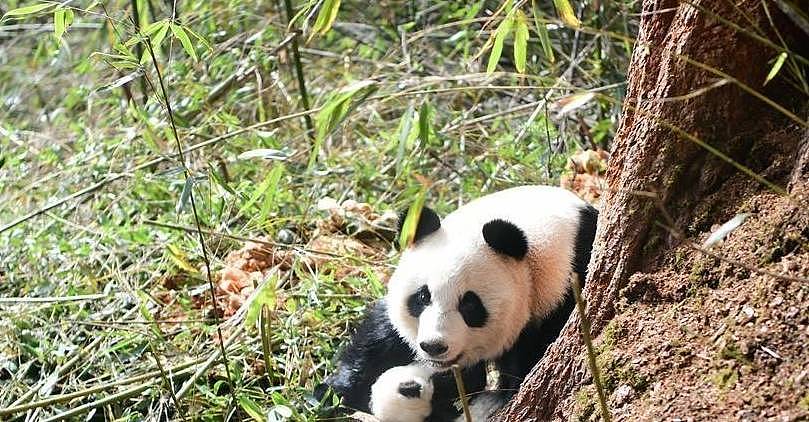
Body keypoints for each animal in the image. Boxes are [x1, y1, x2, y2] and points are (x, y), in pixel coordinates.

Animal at [318, 186, 596, 420]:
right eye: (422, 297)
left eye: (470, 306)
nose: (433, 346)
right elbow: (382, 336)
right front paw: (333, 392)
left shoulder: (561, 292)